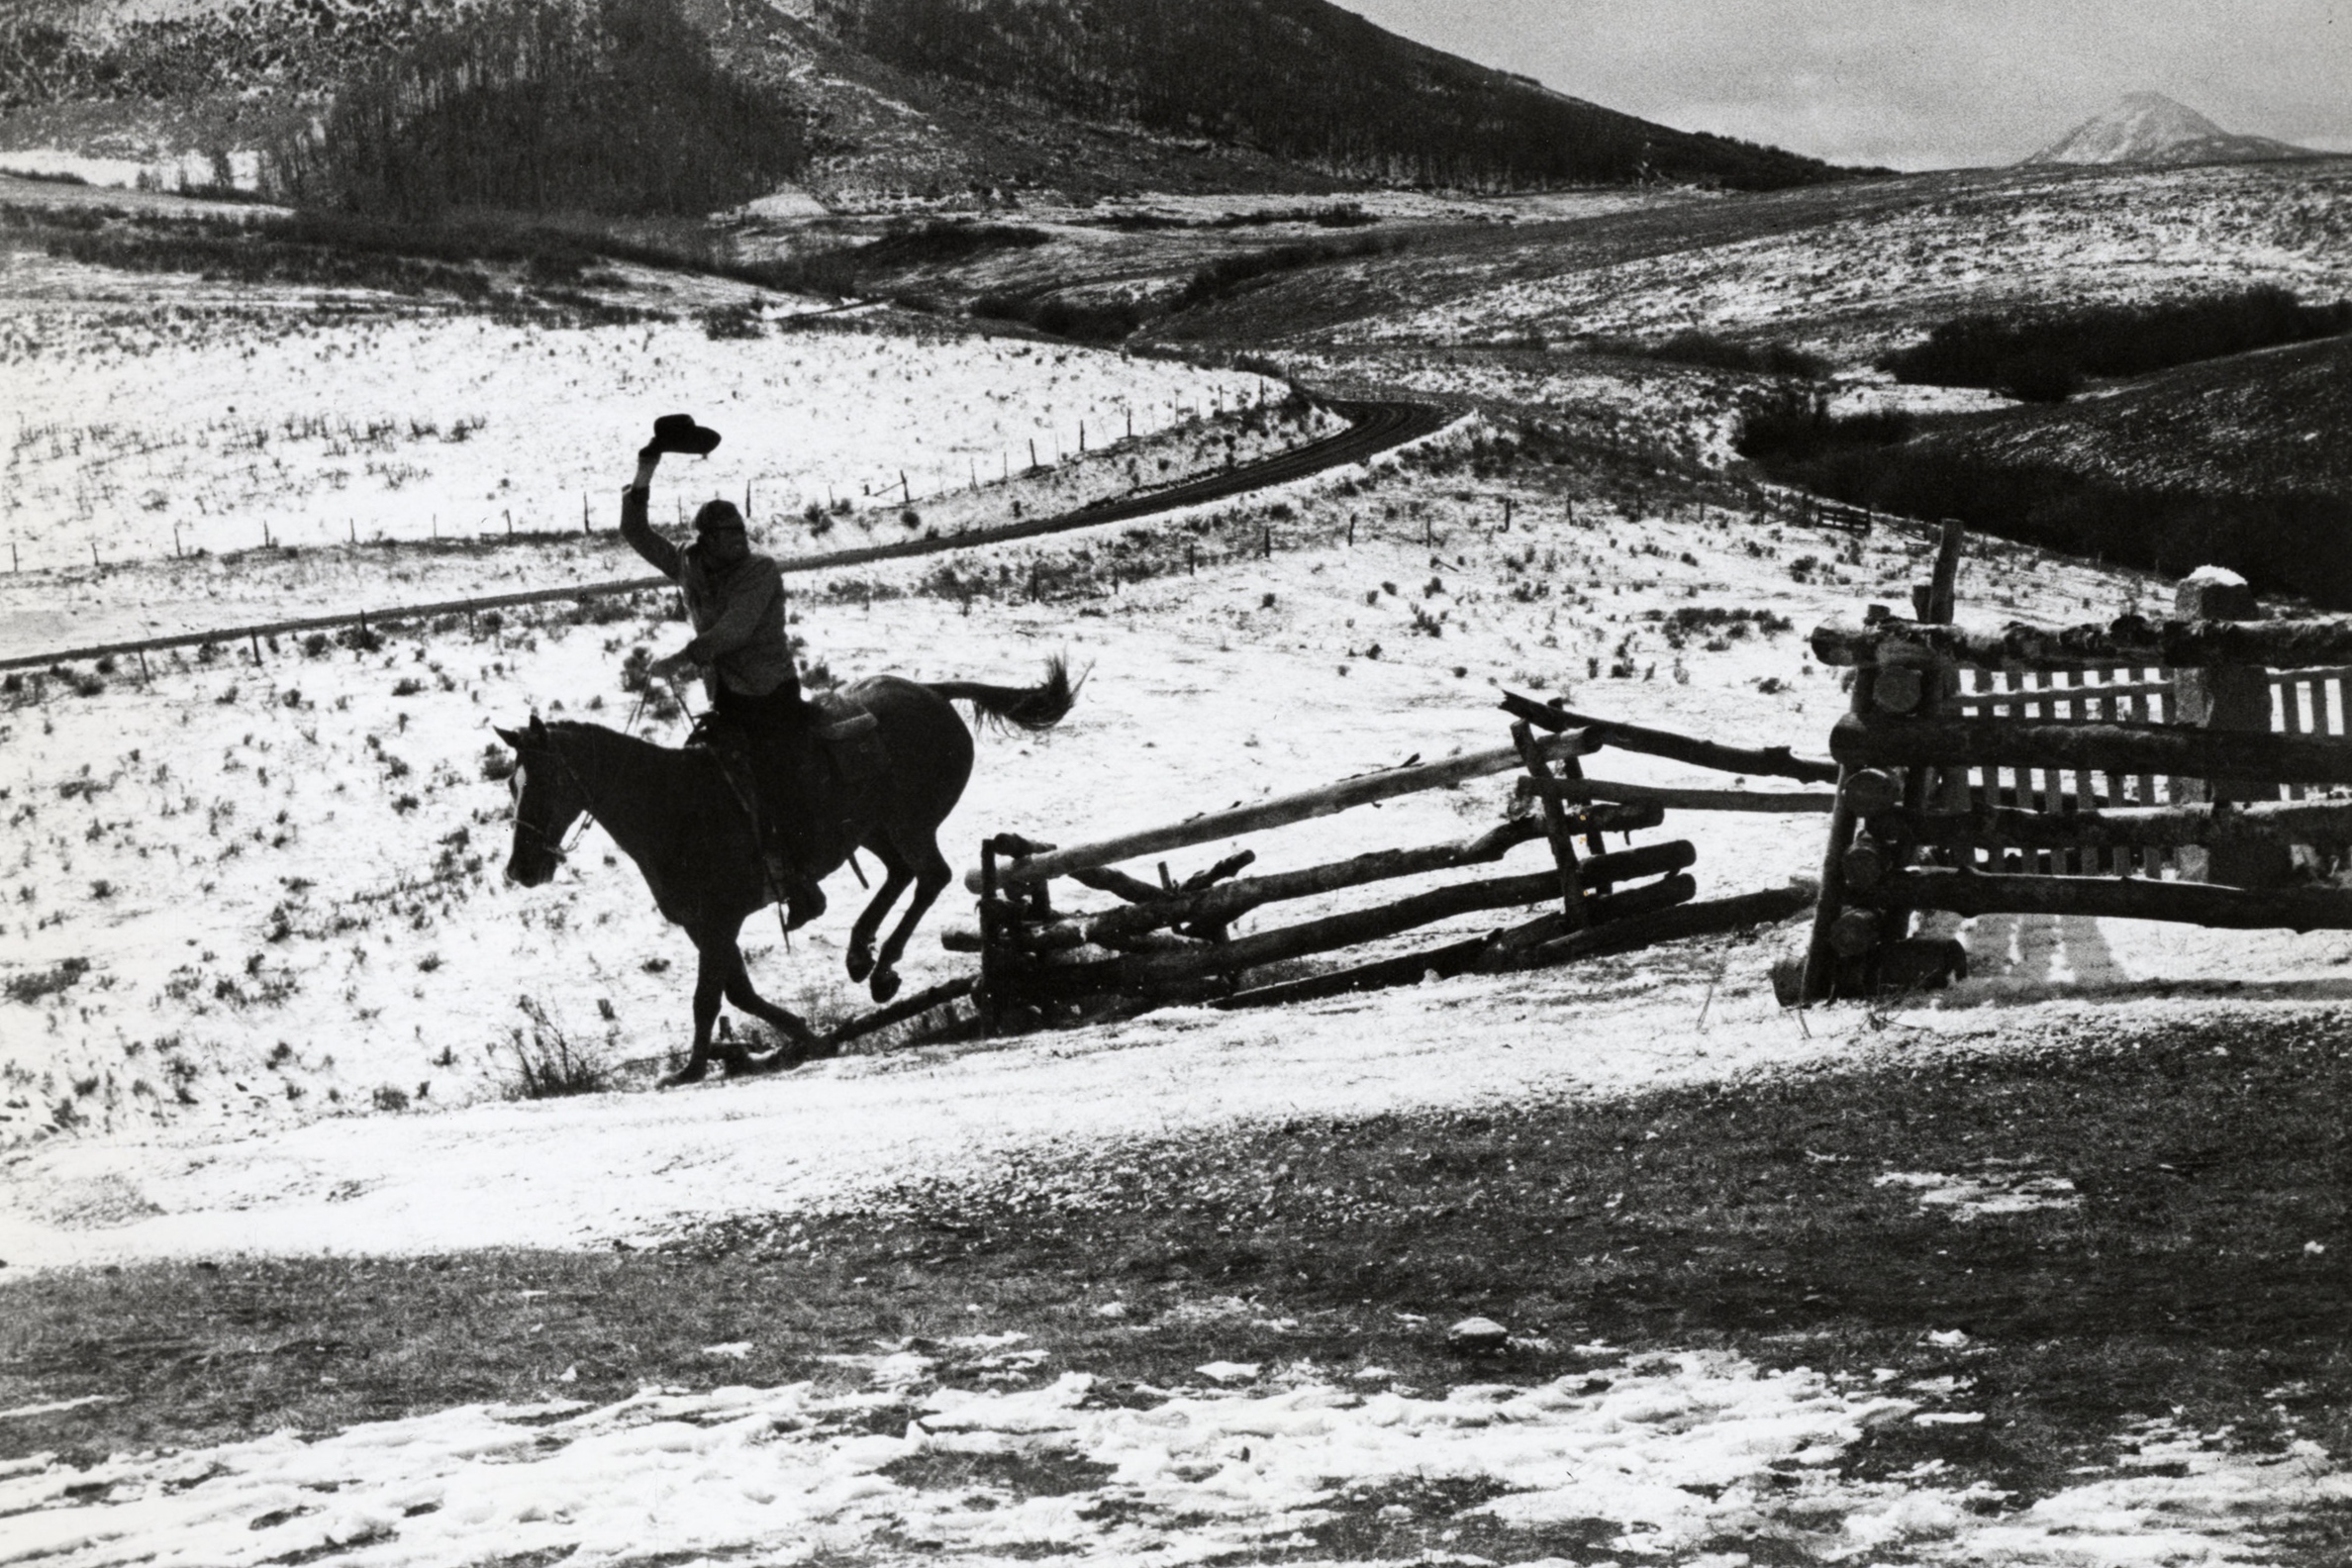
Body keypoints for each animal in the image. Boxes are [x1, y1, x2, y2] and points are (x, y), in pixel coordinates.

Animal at [501, 657, 1077, 1086]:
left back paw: (883, 968)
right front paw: (806, 1036)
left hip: (908, 822)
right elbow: (738, 992)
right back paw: (860, 953)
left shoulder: (721, 919)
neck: (676, 804)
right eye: (512, 783)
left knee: (930, 876)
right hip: (872, 829)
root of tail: (931, 692)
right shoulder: (702, 925)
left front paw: (690, 1069)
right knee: (900, 875)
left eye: (546, 780)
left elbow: (708, 997)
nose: (521, 868)